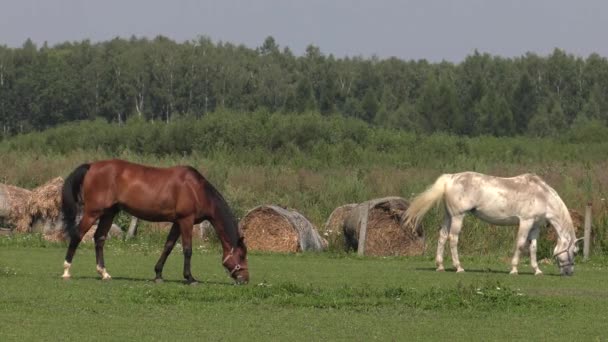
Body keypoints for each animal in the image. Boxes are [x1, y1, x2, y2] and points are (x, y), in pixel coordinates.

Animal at [61, 159, 249, 284]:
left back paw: (104, 273)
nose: (245, 279)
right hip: (93, 212)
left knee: (99, 238)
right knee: (77, 235)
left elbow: (168, 246)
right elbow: (187, 250)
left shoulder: (177, 222)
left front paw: (158, 274)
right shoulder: (186, 221)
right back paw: (66, 271)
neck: (196, 189)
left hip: (109, 213)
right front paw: (190, 278)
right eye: (241, 255)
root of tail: (91, 166)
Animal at [404, 171, 580, 276]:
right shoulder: (525, 222)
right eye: (575, 251)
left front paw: (537, 270)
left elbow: (533, 248)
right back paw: (459, 267)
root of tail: (451, 178)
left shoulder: (535, 226)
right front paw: (514, 269)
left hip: (448, 216)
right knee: (453, 239)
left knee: (442, 237)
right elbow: (520, 244)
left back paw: (440, 266)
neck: (542, 195)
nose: (569, 272)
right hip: (458, 217)